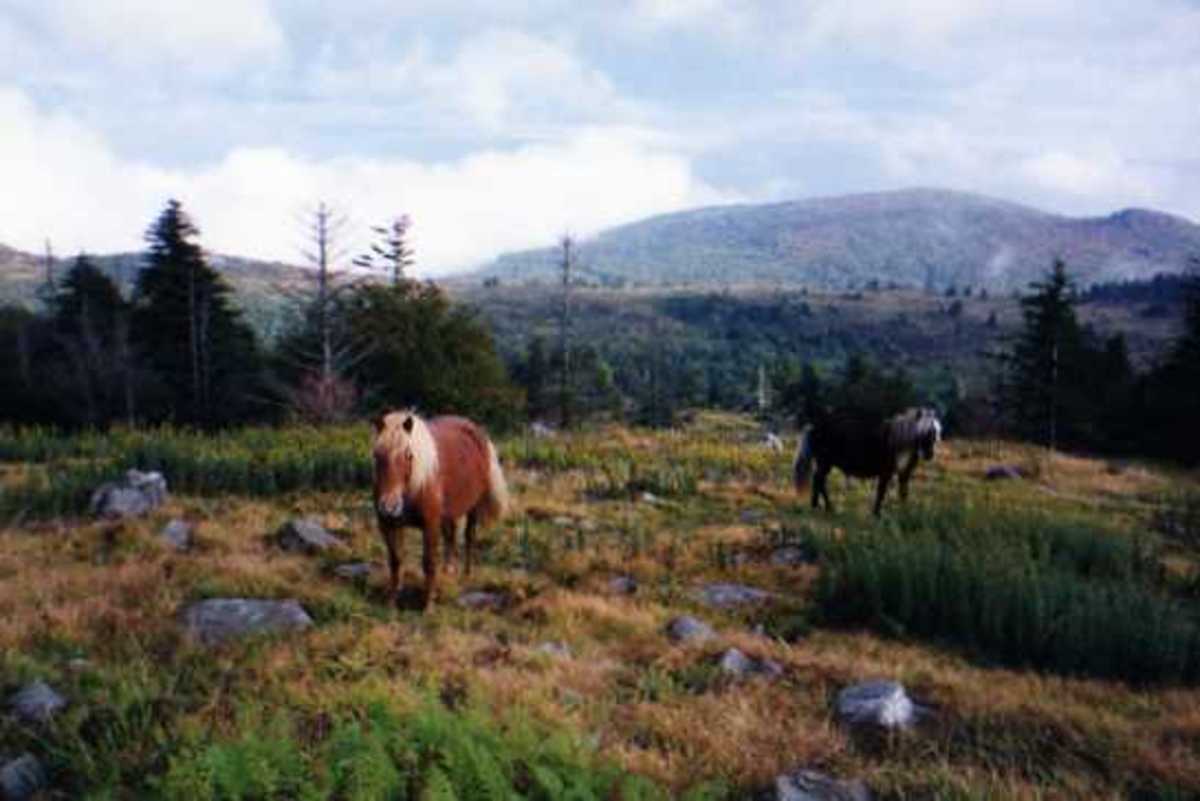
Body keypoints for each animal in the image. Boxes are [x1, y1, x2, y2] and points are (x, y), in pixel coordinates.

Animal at [372, 411, 509, 609]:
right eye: (376, 455)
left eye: (408, 455)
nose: (389, 506)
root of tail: (476, 430)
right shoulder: (388, 524)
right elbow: (396, 560)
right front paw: (392, 601)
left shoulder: (430, 525)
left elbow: (429, 562)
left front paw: (428, 605)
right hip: (448, 514)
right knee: (450, 537)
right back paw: (448, 571)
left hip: (473, 508)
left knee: (469, 537)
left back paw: (467, 573)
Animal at [793, 407, 942, 516]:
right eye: (922, 433)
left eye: (935, 433)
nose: (929, 455)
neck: (899, 440)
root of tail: (815, 427)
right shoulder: (886, 472)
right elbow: (881, 492)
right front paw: (877, 513)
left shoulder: (904, 473)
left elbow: (903, 492)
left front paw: (904, 512)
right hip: (825, 462)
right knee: (819, 480)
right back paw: (827, 507)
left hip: (824, 463)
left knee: (818, 481)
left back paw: (817, 505)